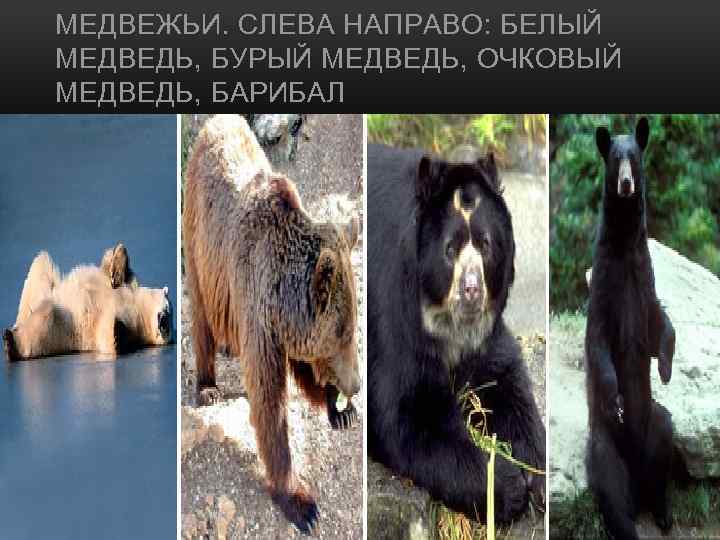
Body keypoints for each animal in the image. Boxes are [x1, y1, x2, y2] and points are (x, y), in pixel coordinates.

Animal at [3, 250, 172, 361]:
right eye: (169, 310)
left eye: (169, 317)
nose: (164, 323)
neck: (138, 308)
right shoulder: (129, 288)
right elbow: (111, 268)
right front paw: (116, 269)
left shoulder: (131, 326)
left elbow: (106, 336)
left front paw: (117, 332)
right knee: (41, 264)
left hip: (61, 331)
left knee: (42, 324)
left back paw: (11, 342)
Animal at [182, 114, 361, 533]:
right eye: (344, 331)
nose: (357, 385)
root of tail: (216, 122)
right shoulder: (258, 311)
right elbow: (269, 404)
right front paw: (301, 503)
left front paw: (339, 409)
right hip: (201, 244)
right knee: (200, 315)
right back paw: (207, 385)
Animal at [367, 143, 546, 523]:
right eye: (450, 249)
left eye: (486, 244)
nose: (472, 291)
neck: (445, 321)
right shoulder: (392, 312)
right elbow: (409, 416)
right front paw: (508, 486)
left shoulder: (484, 334)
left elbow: (504, 378)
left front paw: (534, 473)